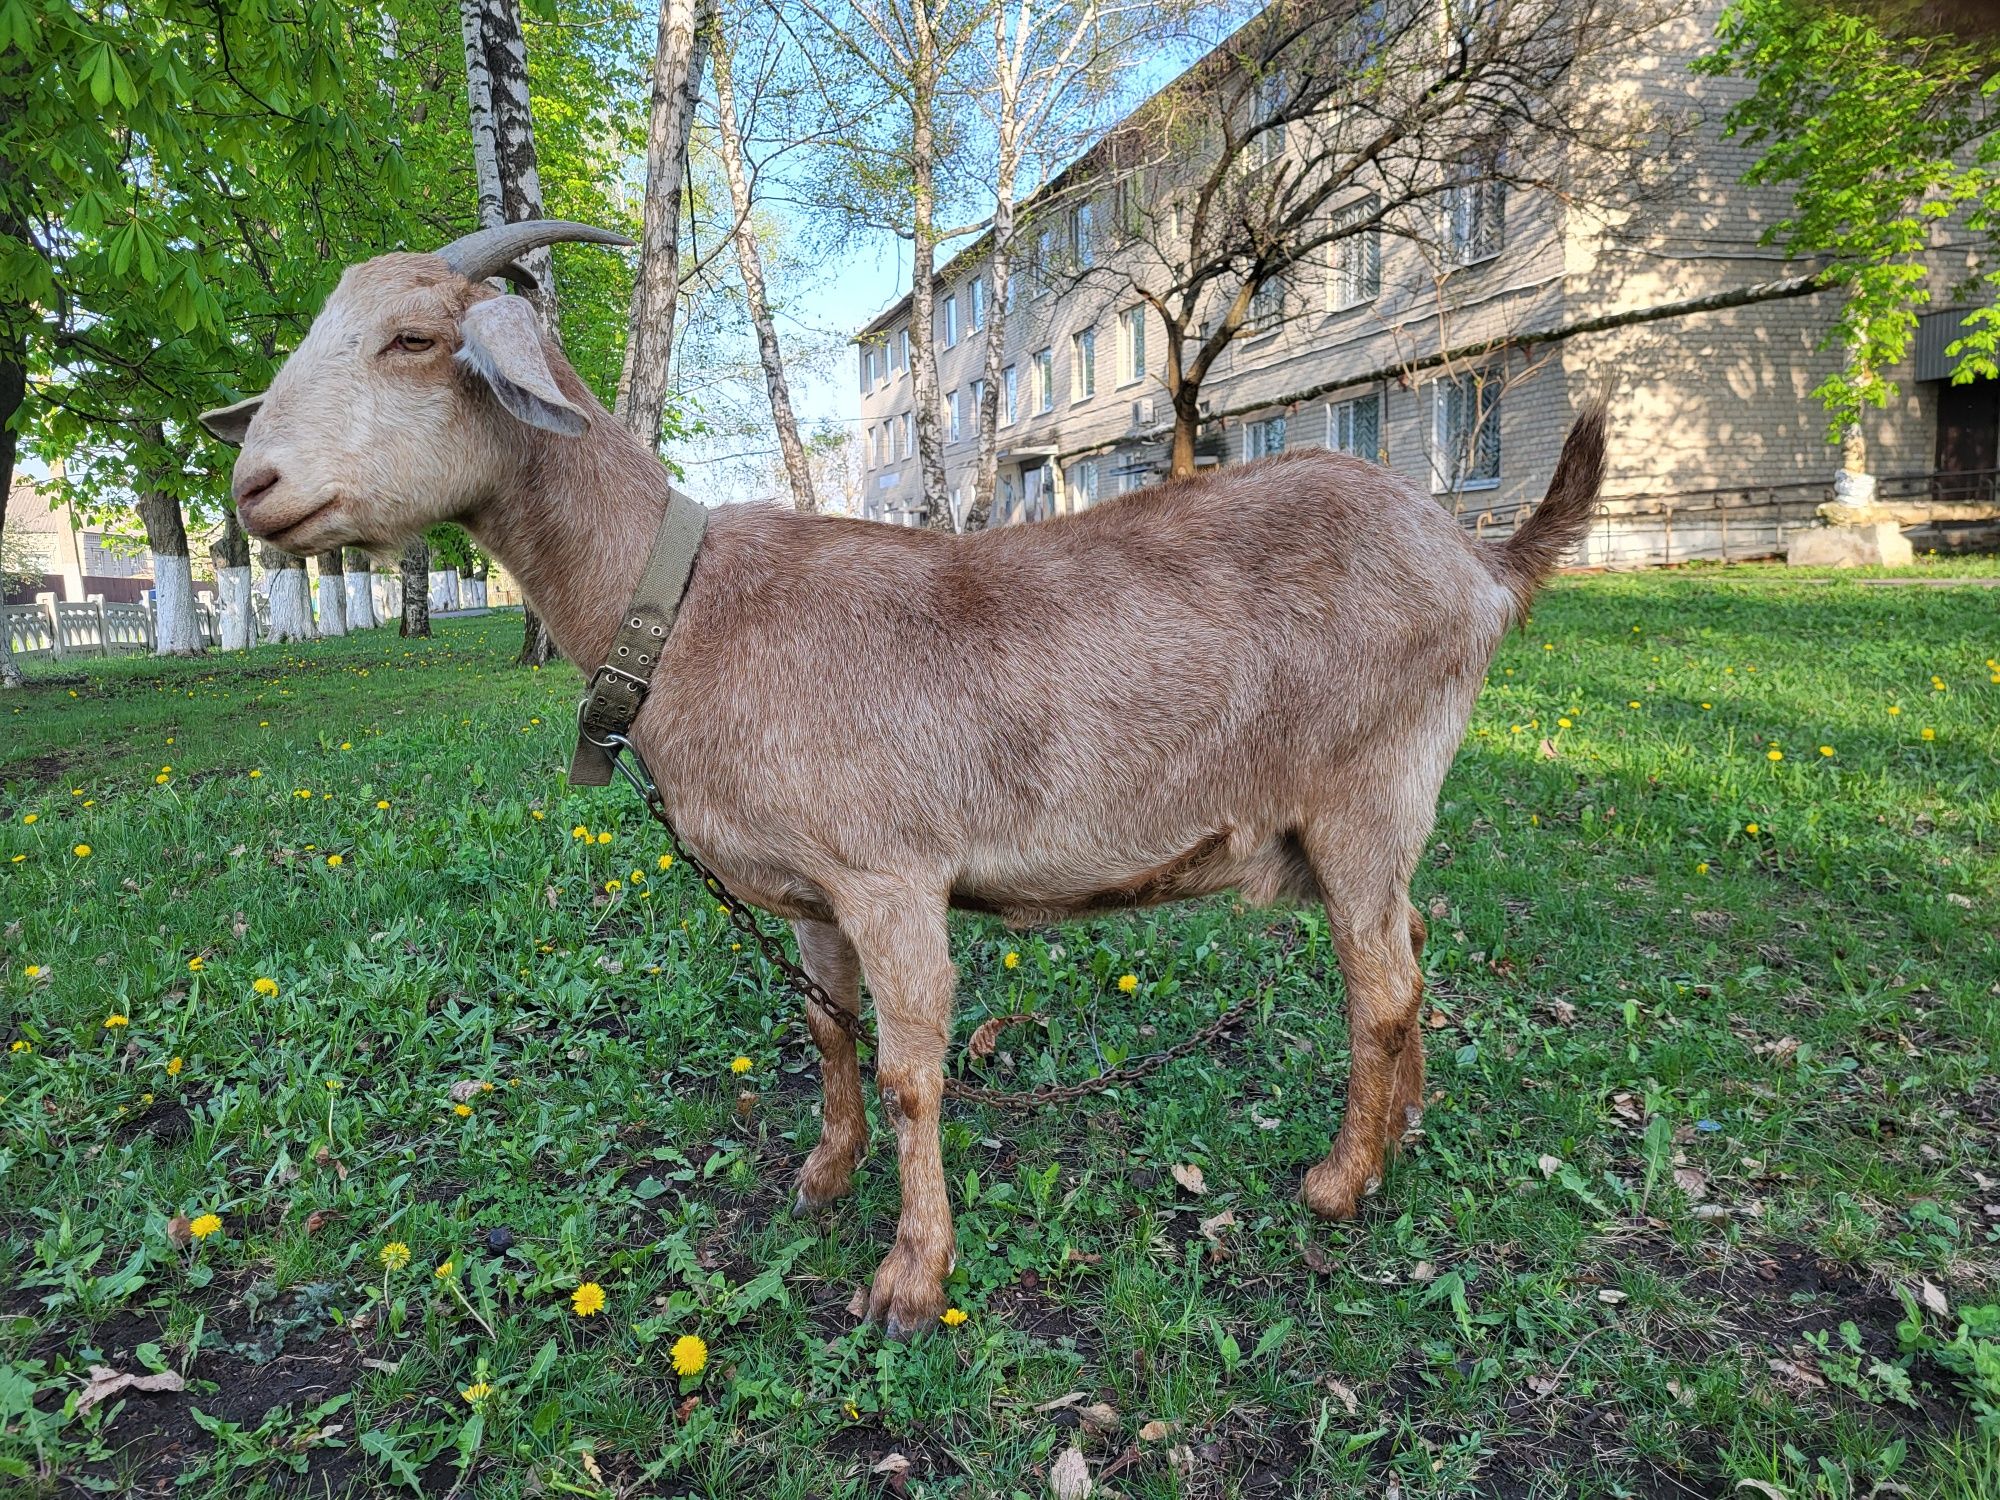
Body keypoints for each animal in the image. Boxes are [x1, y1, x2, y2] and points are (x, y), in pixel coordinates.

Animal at [203, 223, 1608, 1336]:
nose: (252, 488)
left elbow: (907, 1070)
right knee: (1411, 952)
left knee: (1379, 989)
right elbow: (827, 1034)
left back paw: (1335, 1182)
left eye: (413, 339)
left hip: (1365, 791)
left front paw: (910, 1278)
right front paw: (821, 1180)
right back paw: (1400, 1139)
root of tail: (1479, 566)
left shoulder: (890, 876)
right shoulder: (809, 894)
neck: (686, 604)